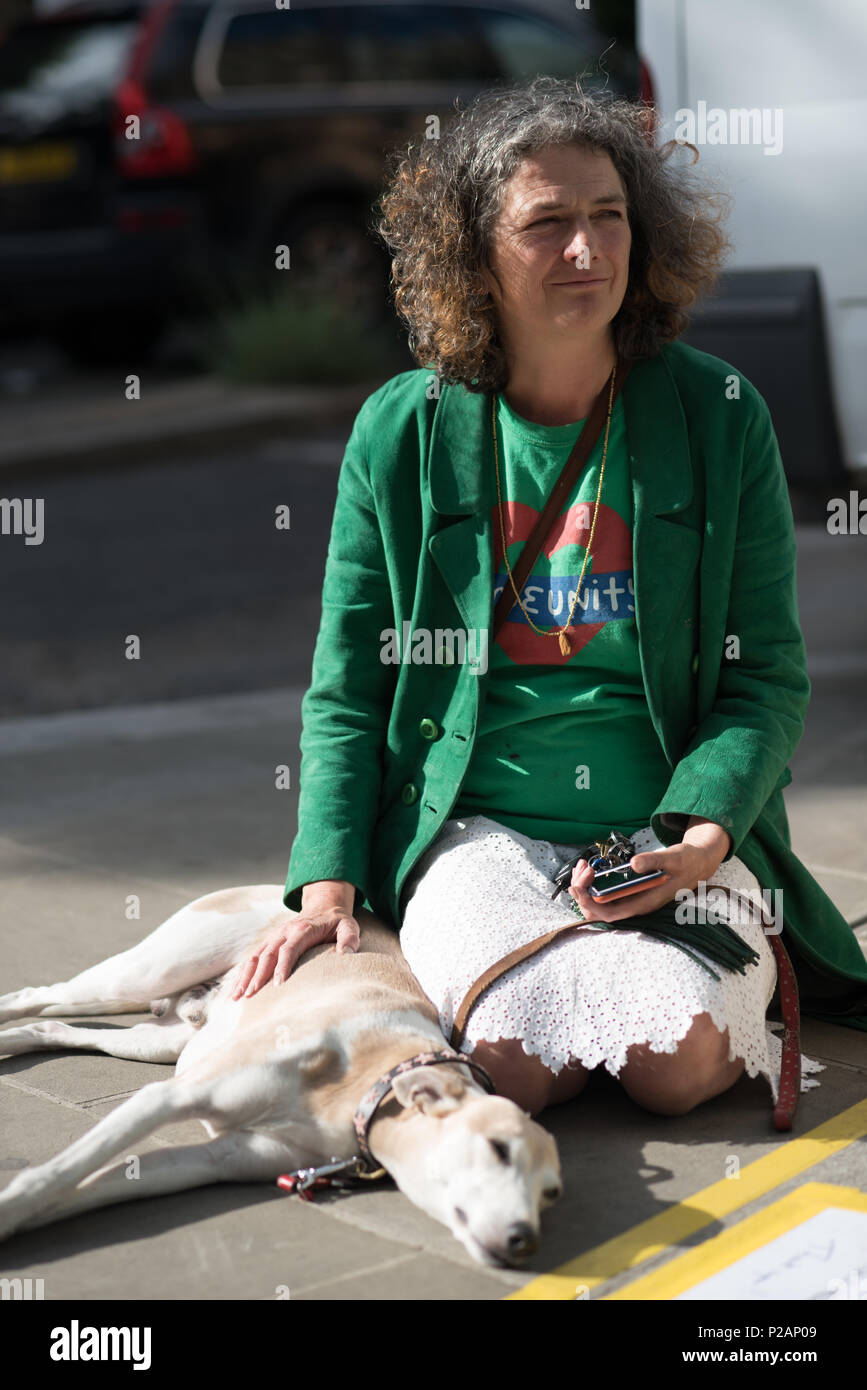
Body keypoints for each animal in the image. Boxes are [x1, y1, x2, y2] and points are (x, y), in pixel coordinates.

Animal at [0, 889, 561, 1273]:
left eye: (550, 1194)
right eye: (498, 1149)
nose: (526, 1240)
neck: (364, 1086)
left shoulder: (212, 1160)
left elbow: (87, 1188)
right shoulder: (168, 1098)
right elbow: (59, 1173)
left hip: (161, 1042)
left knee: (51, 1027)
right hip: (140, 977)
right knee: (36, 996)